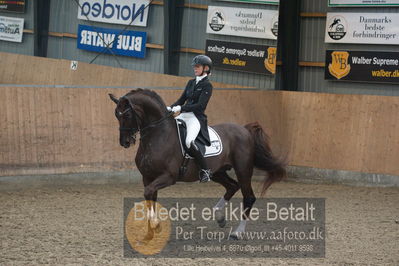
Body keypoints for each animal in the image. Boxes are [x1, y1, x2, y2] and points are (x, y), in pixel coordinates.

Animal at [108, 89, 286, 239]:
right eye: (116, 115)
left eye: (127, 115)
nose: (125, 142)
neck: (158, 135)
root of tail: (244, 130)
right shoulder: (148, 177)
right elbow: (149, 198)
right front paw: (150, 232)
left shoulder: (168, 177)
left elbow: (148, 193)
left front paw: (156, 225)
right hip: (217, 172)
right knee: (232, 186)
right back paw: (219, 217)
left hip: (243, 170)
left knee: (248, 197)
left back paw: (237, 232)